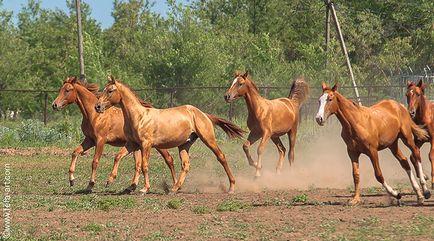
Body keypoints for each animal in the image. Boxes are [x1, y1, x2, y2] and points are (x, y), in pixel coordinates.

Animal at [95, 76, 244, 194]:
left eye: (110, 90)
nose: (98, 106)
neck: (139, 117)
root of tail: (202, 113)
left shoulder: (146, 145)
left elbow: (144, 165)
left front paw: (144, 189)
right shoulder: (132, 144)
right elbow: (118, 156)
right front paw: (110, 180)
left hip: (208, 139)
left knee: (221, 157)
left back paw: (231, 187)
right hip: (184, 145)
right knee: (185, 165)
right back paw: (174, 188)